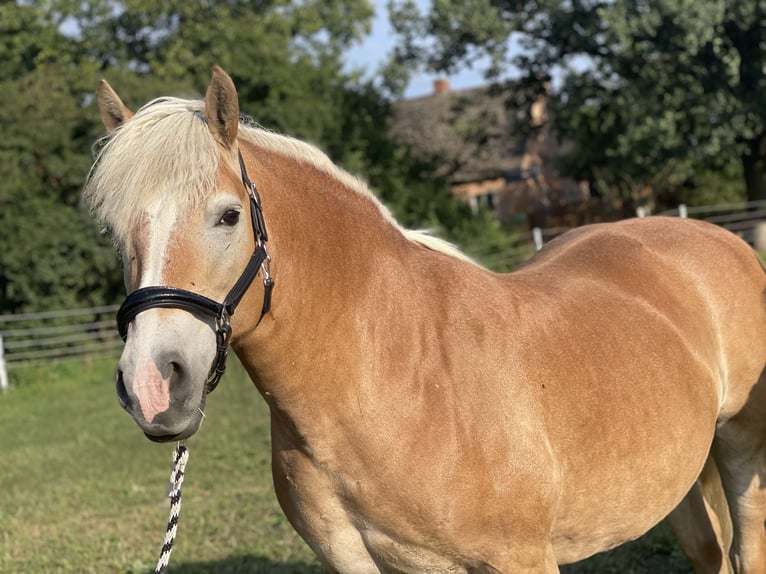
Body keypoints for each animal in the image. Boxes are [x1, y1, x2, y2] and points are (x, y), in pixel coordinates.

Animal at [85, 65, 766, 572]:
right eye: (114, 233)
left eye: (227, 216)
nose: (153, 386)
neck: (401, 378)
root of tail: (719, 238)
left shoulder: (520, 560)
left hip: (741, 453)